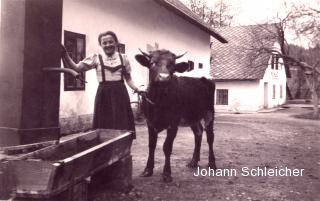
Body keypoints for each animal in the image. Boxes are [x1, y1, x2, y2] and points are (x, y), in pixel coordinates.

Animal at [134, 48, 216, 182]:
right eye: (152, 63)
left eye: (172, 65)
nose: (164, 77)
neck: (159, 100)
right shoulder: (150, 122)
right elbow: (151, 145)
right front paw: (147, 170)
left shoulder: (173, 124)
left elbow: (167, 147)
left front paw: (167, 174)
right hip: (192, 116)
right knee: (198, 133)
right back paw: (193, 161)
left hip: (209, 111)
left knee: (210, 137)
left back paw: (212, 163)